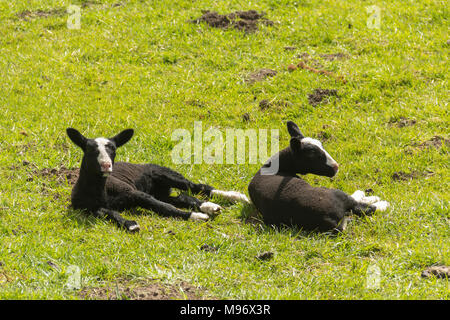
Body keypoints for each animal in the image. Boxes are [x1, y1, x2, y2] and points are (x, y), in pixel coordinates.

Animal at [67, 127, 250, 232]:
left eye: (113, 149)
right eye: (90, 150)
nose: (106, 166)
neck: (101, 192)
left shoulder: (135, 193)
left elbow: (164, 208)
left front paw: (196, 217)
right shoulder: (91, 209)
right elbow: (107, 213)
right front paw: (130, 224)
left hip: (164, 173)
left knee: (196, 186)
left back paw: (235, 197)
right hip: (161, 191)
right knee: (183, 197)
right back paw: (211, 207)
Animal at [248, 121, 388, 231]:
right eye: (311, 153)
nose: (336, 166)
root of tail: (327, 218)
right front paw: (367, 195)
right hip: (336, 194)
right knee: (363, 207)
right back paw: (381, 202)